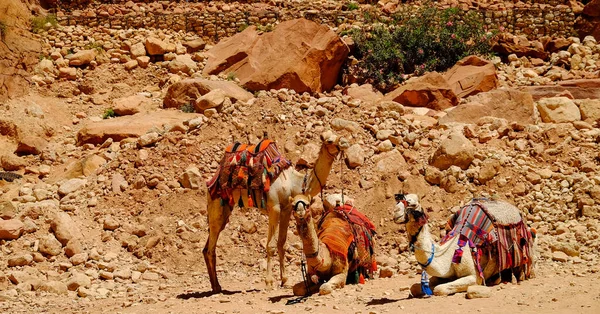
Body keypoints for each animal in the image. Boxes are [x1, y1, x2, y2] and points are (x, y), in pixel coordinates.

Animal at [204, 130, 350, 292]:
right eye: (330, 141)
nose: (345, 142)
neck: (295, 183)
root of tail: (213, 179)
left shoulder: (286, 209)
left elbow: (282, 243)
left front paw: (284, 280)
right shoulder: (274, 207)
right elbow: (271, 246)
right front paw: (269, 282)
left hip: (225, 208)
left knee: (207, 246)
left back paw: (215, 285)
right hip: (216, 202)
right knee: (211, 247)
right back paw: (217, 287)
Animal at [392, 194, 536, 296]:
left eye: (412, 204)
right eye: (398, 201)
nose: (395, 212)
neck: (449, 254)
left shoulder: (474, 276)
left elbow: (439, 289)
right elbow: (415, 287)